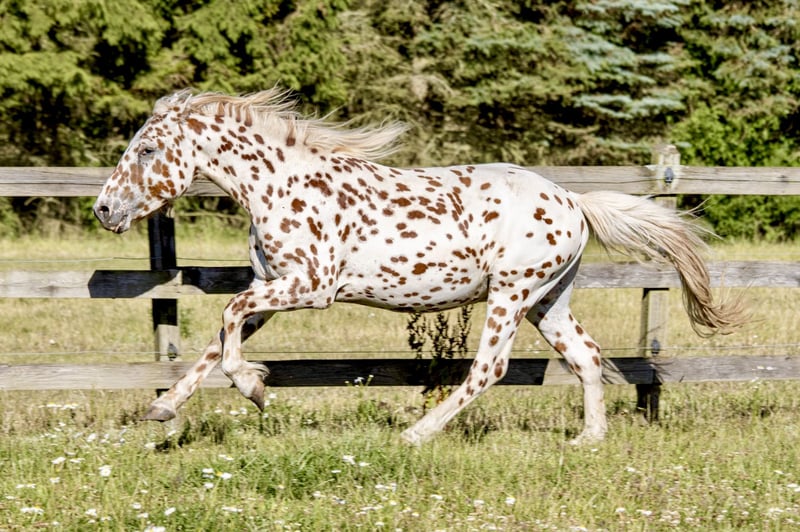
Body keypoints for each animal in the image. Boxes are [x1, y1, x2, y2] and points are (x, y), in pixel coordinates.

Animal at [93, 89, 745, 445]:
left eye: (147, 149)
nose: (104, 209)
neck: (277, 187)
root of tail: (572, 202)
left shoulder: (310, 286)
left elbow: (226, 321)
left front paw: (254, 388)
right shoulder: (271, 286)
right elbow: (216, 339)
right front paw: (165, 407)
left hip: (510, 295)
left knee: (489, 368)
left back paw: (416, 434)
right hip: (547, 300)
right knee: (585, 356)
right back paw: (588, 440)